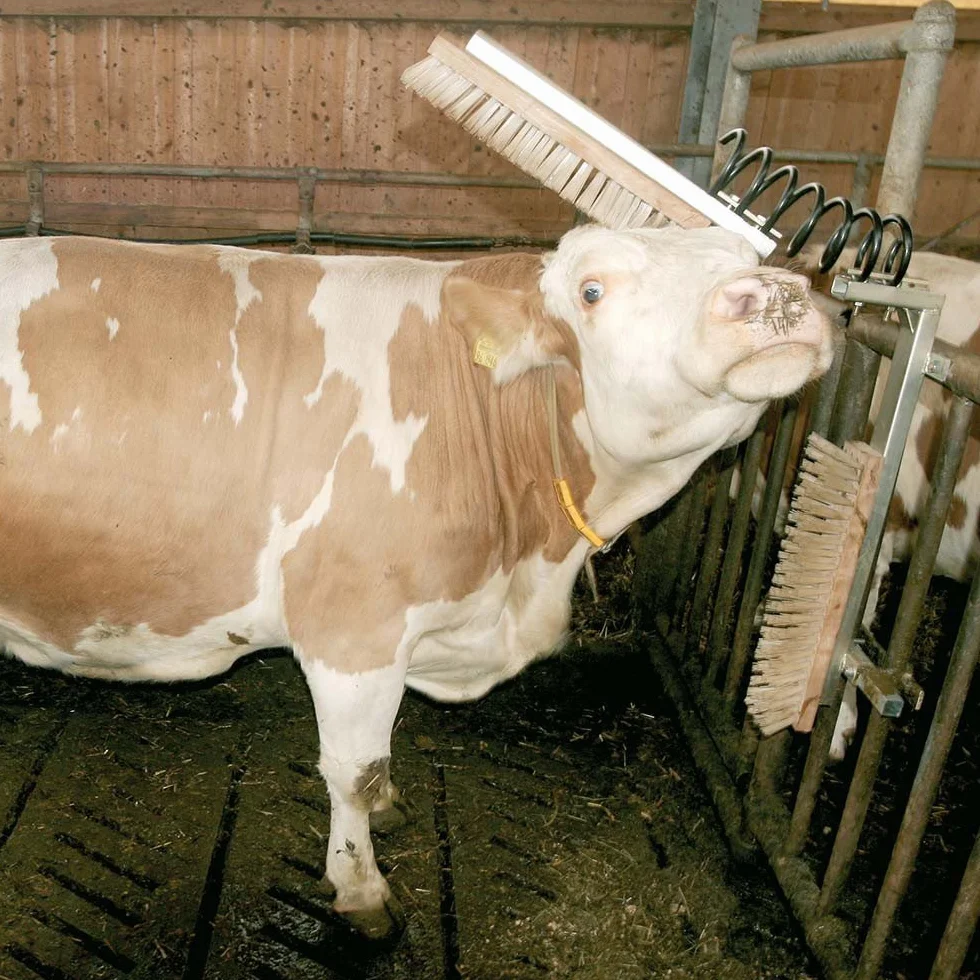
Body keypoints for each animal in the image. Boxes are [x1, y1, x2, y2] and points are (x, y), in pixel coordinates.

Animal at [0, 225, 834, 939]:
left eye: (748, 252)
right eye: (592, 290)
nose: (772, 294)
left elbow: (381, 756)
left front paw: (389, 810)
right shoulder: (352, 628)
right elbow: (352, 769)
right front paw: (361, 888)